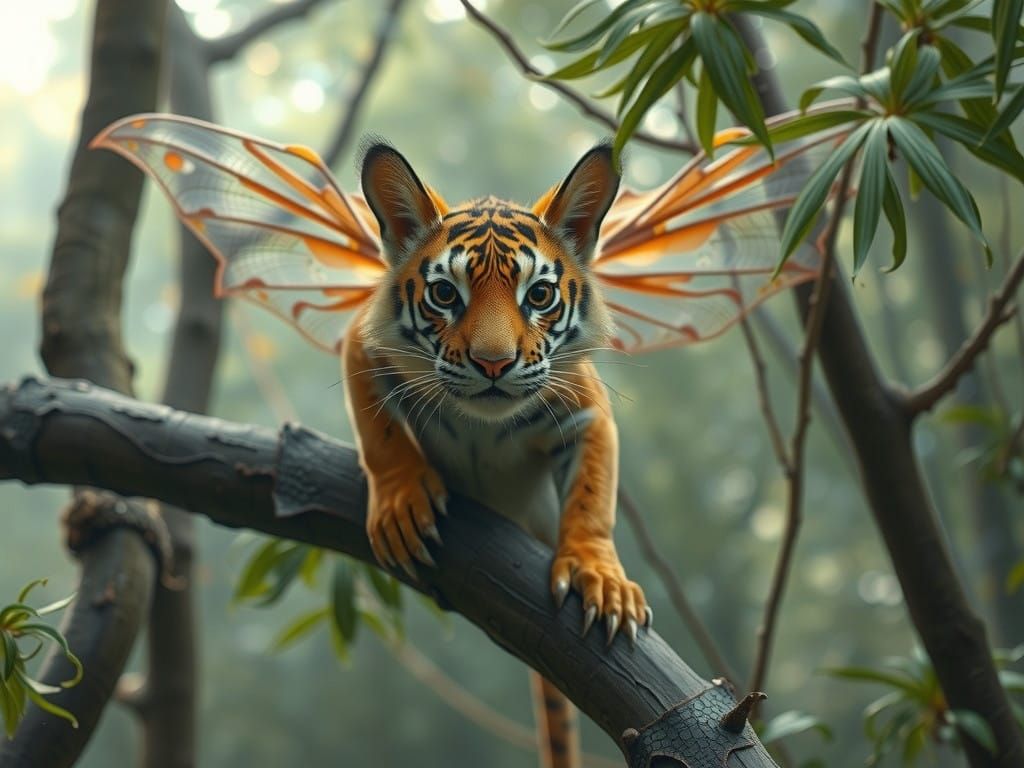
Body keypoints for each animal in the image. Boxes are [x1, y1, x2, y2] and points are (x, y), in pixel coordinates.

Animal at [346, 140, 650, 768]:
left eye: (539, 295)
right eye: (445, 294)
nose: (492, 362)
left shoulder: (586, 408)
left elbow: (592, 498)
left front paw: (599, 577)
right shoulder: (362, 344)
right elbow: (380, 435)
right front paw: (402, 501)